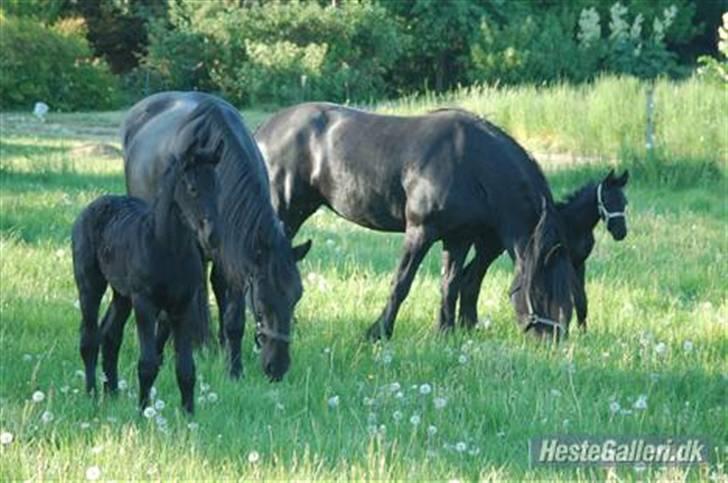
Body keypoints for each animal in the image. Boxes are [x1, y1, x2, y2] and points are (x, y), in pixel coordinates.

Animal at [71, 146, 220, 414]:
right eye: (192, 188)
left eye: (218, 186)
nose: (212, 235)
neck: (168, 249)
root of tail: (94, 205)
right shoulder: (145, 303)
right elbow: (148, 363)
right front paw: (141, 412)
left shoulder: (182, 306)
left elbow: (186, 368)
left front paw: (189, 414)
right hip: (90, 284)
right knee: (89, 337)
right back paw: (92, 394)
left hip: (122, 295)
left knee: (110, 335)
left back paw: (113, 392)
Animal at [122, 91, 310, 382]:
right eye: (261, 303)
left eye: (296, 298)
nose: (277, 368)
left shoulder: (235, 256)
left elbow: (234, 318)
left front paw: (233, 367)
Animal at [253, 103, 576, 340]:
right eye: (542, 289)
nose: (553, 339)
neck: (470, 161)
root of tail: (263, 131)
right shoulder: (420, 231)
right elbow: (401, 282)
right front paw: (378, 332)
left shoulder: (458, 238)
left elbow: (450, 283)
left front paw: (445, 332)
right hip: (284, 212)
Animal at [458, 168, 628, 330]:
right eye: (606, 199)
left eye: (625, 202)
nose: (621, 233)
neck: (574, 224)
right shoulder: (567, 263)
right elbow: (575, 297)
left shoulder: (580, 263)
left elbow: (582, 301)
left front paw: (583, 332)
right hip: (488, 250)